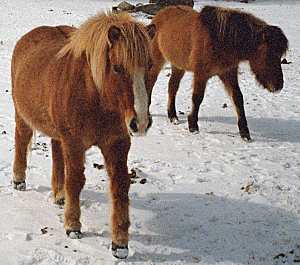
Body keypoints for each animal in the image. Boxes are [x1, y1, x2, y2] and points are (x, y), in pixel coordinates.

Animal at [11, 11, 155, 256]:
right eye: (117, 67)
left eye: (149, 66)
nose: (141, 122)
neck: (94, 96)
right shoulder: (74, 143)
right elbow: (75, 181)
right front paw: (72, 226)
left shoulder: (117, 144)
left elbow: (120, 187)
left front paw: (120, 243)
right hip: (23, 117)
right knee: (22, 140)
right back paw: (19, 181)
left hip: (58, 134)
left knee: (56, 152)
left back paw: (59, 196)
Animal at [146, 5, 290, 140]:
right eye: (269, 54)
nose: (278, 85)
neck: (219, 40)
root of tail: (158, 16)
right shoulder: (201, 74)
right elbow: (197, 98)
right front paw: (193, 126)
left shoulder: (228, 74)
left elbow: (238, 98)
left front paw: (244, 133)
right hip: (157, 63)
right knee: (150, 84)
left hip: (178, 66)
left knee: (172, 87)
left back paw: (173, 116)